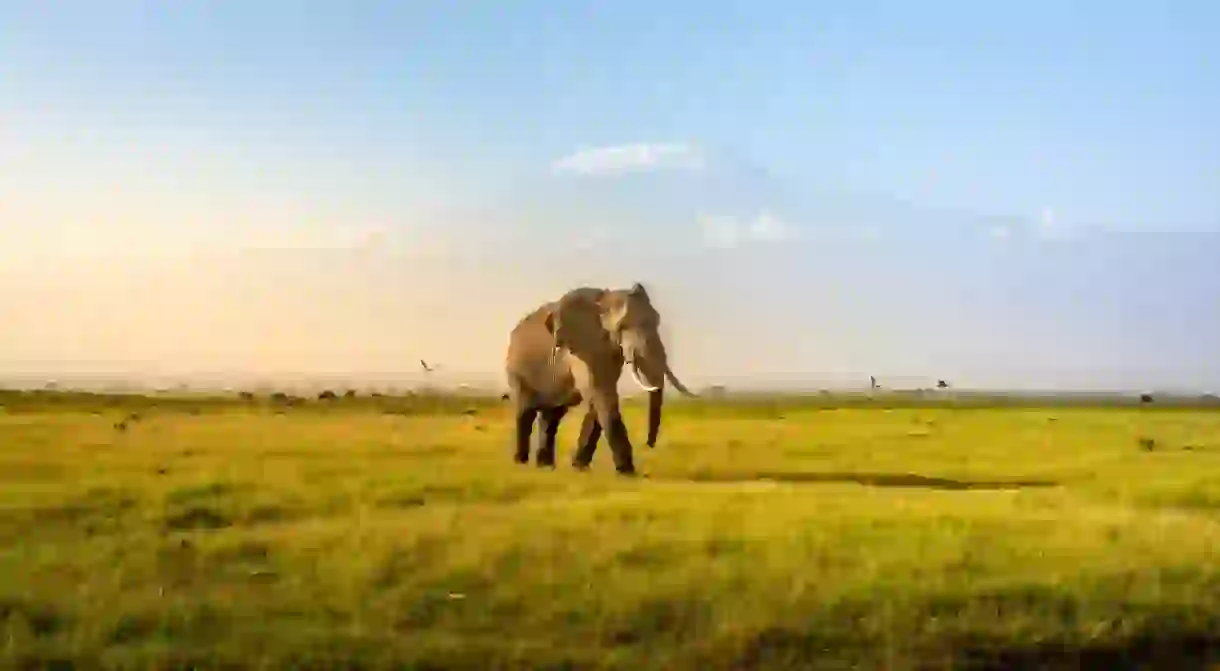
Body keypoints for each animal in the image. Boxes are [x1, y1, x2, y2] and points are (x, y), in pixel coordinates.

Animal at [502, 284, 697, 478]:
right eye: (623, 327)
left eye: (657, 322)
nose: (649, 444)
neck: (605, 300)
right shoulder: (581, 349)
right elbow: (601, 395)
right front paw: (627, 472)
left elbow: (598, 400)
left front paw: (579, 467)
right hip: (516, 369)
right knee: (525, 412)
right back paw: (521, 463)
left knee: (551, 417)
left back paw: (545, 466)